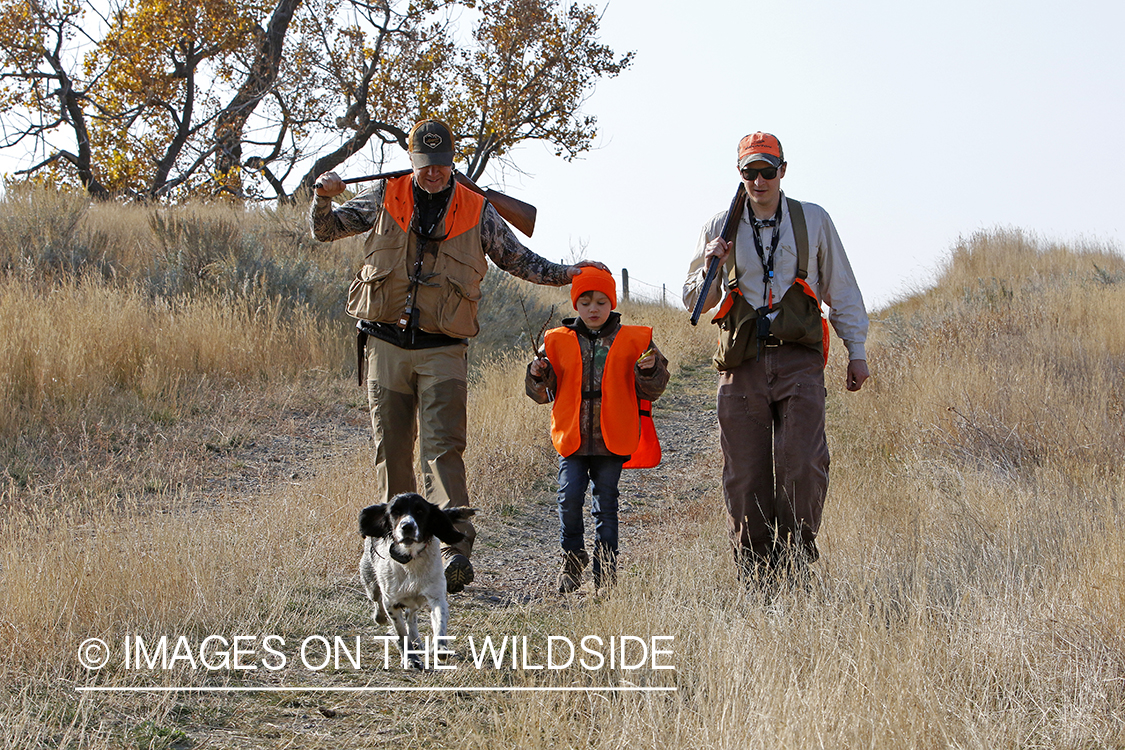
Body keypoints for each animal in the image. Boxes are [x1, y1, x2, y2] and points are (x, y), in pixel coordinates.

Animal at [355, 492, 470, 670]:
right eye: (395, 512)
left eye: (420, 511)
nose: (407, 526)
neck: (410, 560)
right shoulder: (391, 603)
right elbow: (401, 633)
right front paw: (411, 659)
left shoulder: (436, 596)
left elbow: (440, 622)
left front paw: (439, 647)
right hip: (370, 582)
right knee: (377, 599)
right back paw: (380, 617)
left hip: (416, 600)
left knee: (411, 615)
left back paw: (416, 639)